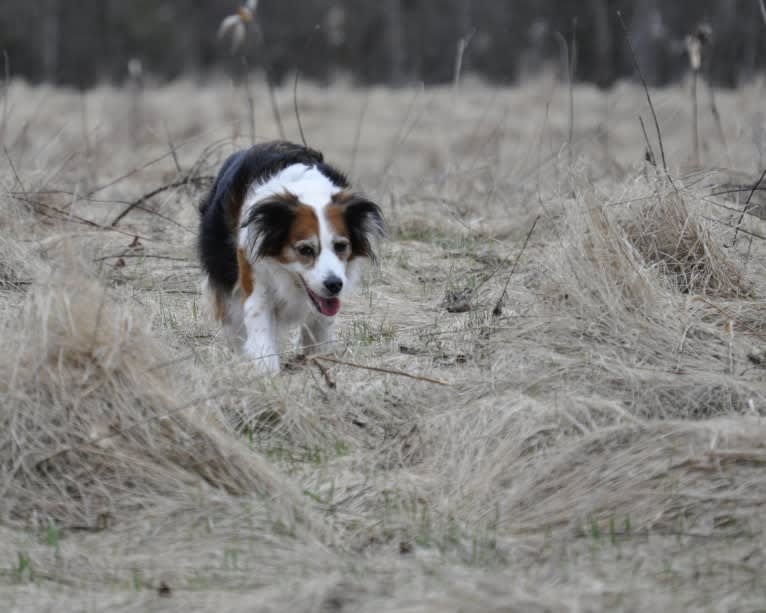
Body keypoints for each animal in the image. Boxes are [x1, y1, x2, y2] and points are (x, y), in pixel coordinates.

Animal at [198, 141, 388, 372]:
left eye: (341, 246)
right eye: (305, 250)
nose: (334, 284)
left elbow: (321, 324)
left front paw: (320, 358)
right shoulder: (254, 272)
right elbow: (258, 316)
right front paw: (266, 369)